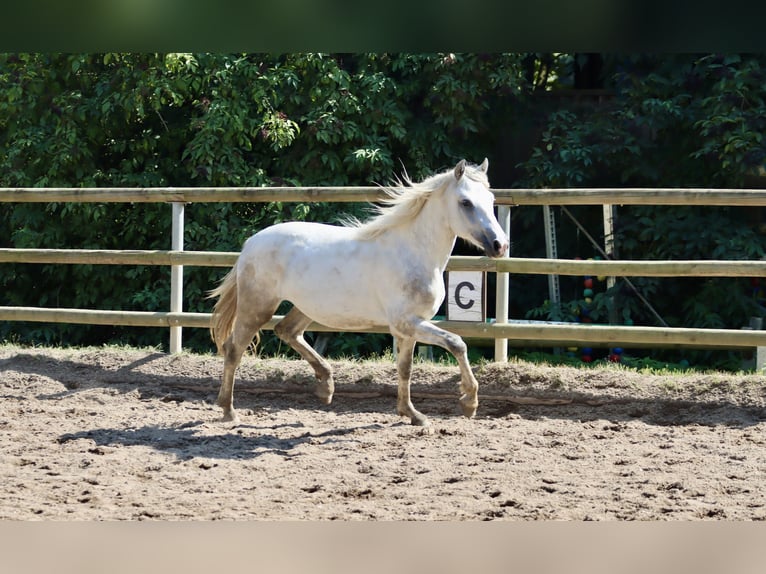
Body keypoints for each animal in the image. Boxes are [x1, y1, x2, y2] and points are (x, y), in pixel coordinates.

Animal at [208, 159, 510, 428]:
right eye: (466, 202)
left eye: (491, 199)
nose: (500, 245)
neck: (412, 253)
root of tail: (250, 244)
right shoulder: (407, 322)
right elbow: (457, 343)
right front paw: (469, 402)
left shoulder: (407, 327)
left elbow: (405, 369)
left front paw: (412, 415)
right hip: (257, 307)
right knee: (234, 349)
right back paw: (228, 411)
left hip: (306, 307)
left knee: (287, 331)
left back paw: (326, 386)